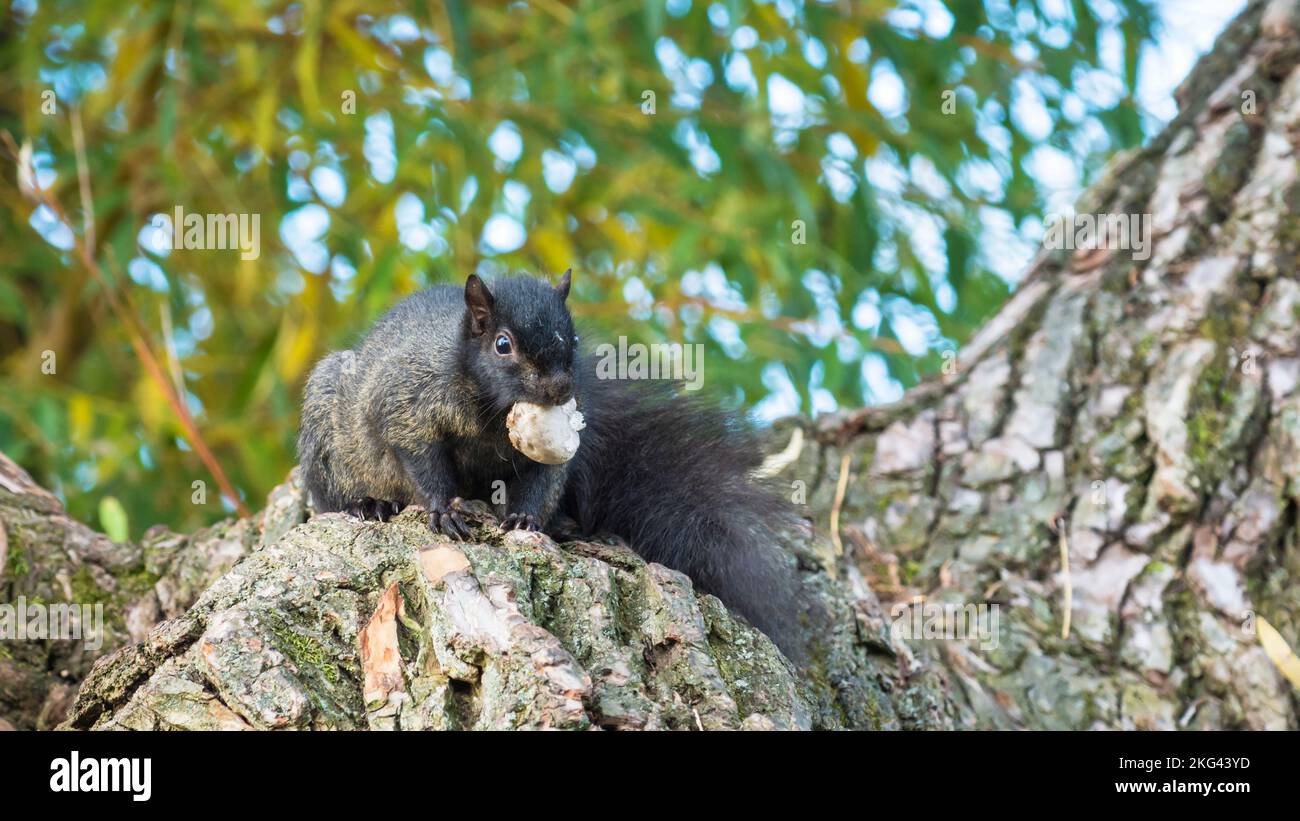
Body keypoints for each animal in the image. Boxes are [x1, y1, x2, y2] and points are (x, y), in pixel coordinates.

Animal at [298, 271, 805, 658]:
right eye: (502, 344)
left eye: (573, 338)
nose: (561, 388)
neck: (493, 410)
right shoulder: (407, 404)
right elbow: (420, 457)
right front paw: (444, 509)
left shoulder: (556, 453)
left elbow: (541, 479)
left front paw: (526, 519)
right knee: (330, 496)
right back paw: (368, 505)